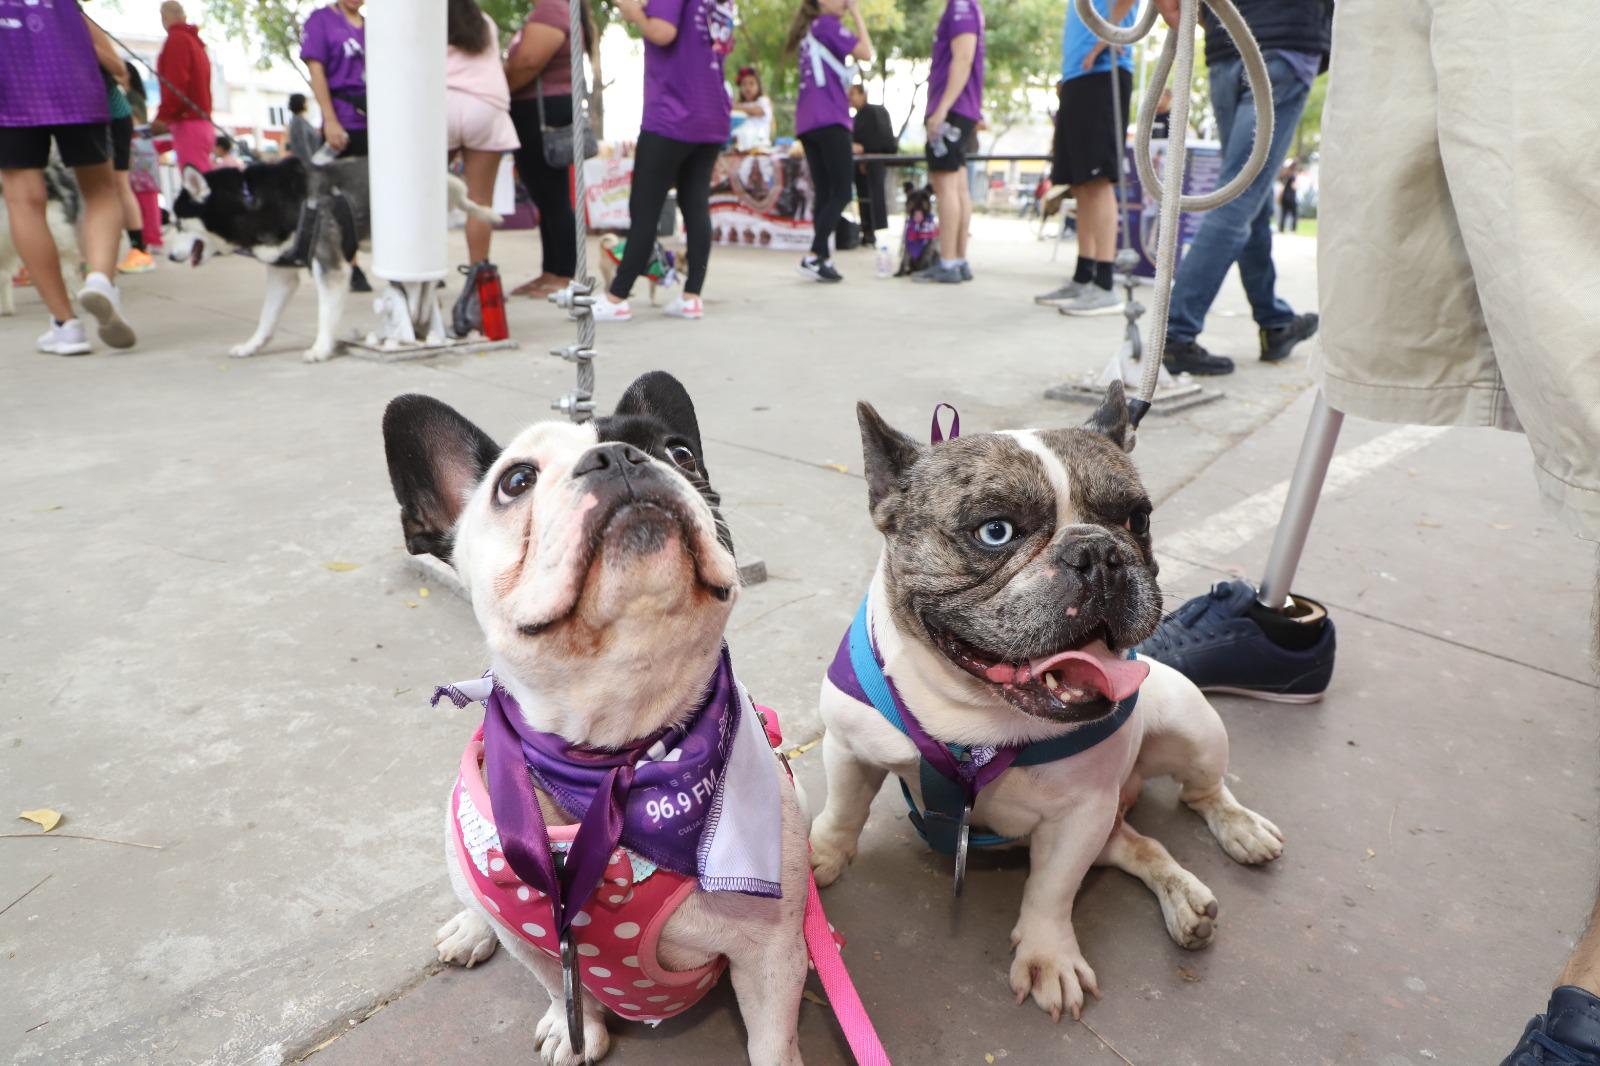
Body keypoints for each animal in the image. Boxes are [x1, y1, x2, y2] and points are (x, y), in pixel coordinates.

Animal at [171, 156, 496, 358]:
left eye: (177, 223)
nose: (171, 256)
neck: (251, 200)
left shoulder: (331, 267)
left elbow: (325, 314)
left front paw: (321, 348)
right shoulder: (281, 274)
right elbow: (266, 319)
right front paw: (251, 346)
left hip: (447, 193)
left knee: (465, 201)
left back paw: (485, 213)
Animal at [385, 369, 806, 1056]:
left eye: (680, 453)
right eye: (516, 481)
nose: (618, 457)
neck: (616, 751)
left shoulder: (772, 954)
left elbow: (771, 1040)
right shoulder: (536, 944)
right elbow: (559, 985)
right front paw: (572, 1029)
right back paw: (470, 928)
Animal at [806, 384, 1280, 1024]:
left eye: (1137, 519)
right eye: (995, 532)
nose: (1099, 552)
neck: (976, 722)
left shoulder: (1080, 816)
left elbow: (1052, 889)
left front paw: (1048, 956)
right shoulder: (849, 748)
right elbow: (842, 810)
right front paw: (817, 859)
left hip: (1191, 725)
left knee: (1203, 791)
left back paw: (1240, 830)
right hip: (1117, 818)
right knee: (1143, 846)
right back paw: (1185, 901)